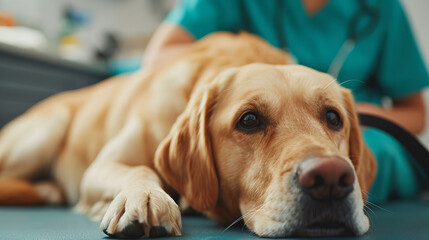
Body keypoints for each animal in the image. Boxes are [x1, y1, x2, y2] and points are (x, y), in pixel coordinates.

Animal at [0, 32, 374, 238]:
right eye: (249, 120)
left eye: (333, 117)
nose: (330, 177)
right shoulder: (101, 167)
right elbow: (141, 169)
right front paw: (145, 197)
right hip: (45, 131)